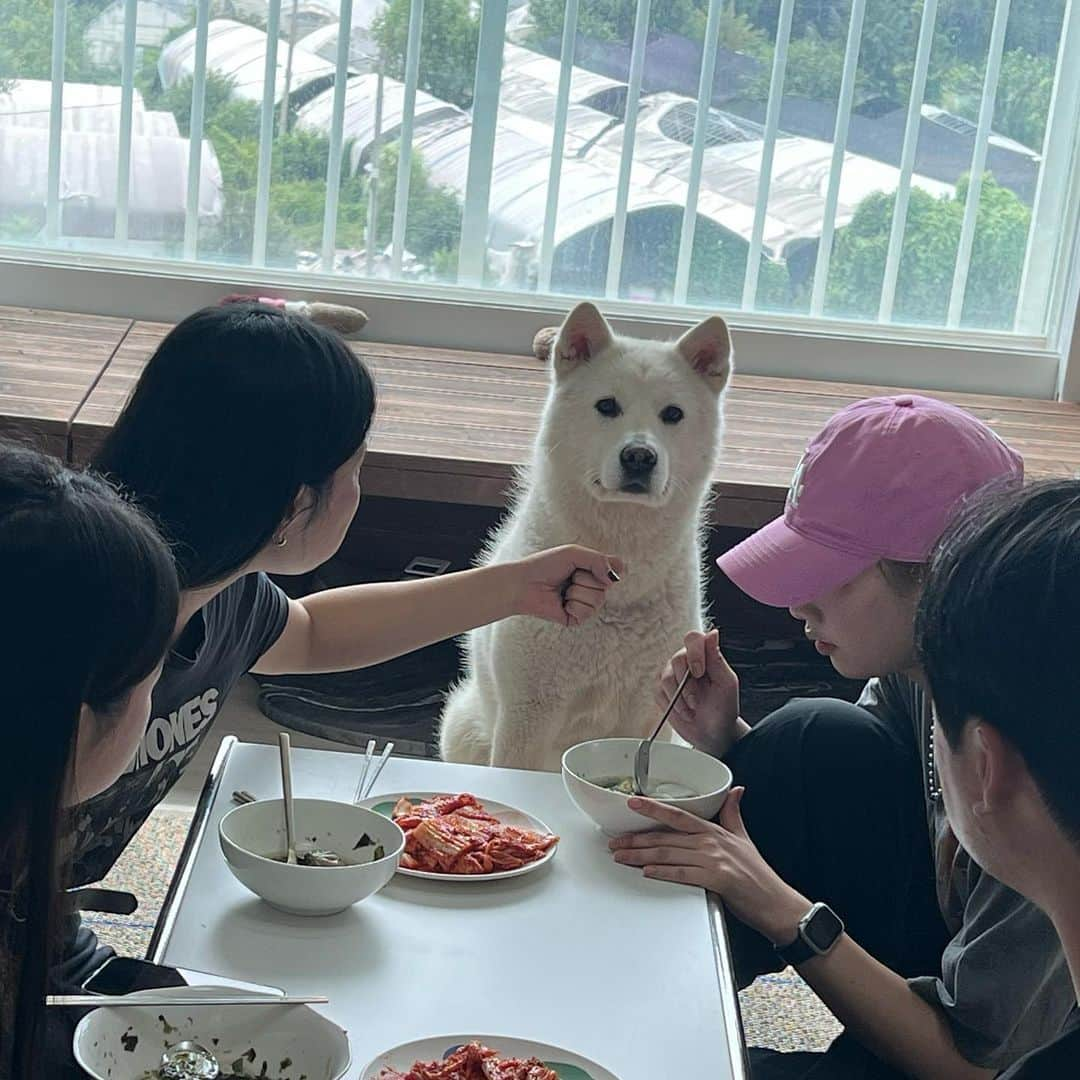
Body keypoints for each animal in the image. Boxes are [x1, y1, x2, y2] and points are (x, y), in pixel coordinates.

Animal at [434, 304, 730, 773]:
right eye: (607, 406)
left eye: (673, 414)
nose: (639, 457)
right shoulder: (529, 713)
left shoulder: (646, 712)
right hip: (462, 725)